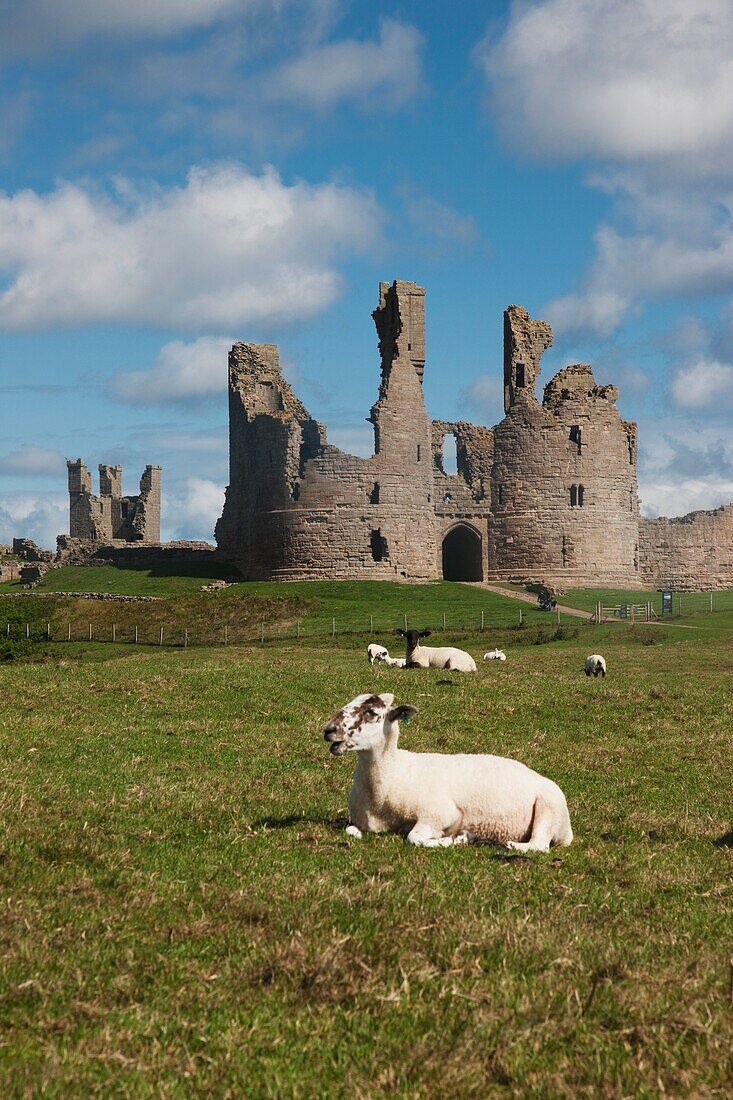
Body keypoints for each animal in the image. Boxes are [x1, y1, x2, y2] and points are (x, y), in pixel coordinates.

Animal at [321, 690, 572, 853]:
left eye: (372, 712)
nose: (329, 730)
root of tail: (568, 831)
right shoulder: (360, 821)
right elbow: (350, 831)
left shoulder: (440, 814)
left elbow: (414, 838)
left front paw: (460, 838)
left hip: (549, 809)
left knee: (539, 845)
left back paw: (506, 844)